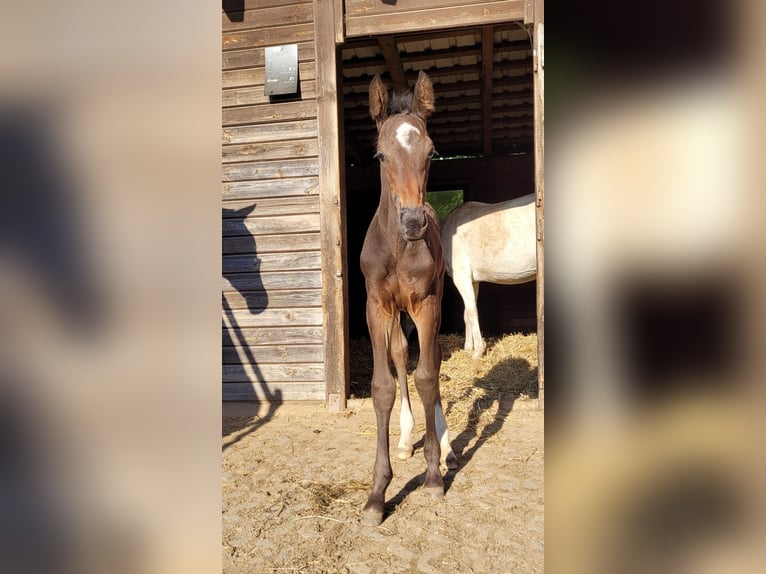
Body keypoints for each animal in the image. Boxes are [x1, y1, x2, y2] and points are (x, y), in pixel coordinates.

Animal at [440, 195, 536, 356]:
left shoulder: (461, 276)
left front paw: (478, 351)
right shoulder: (473, 280)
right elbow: (466, 314)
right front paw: (468, 347)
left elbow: (472, 311)